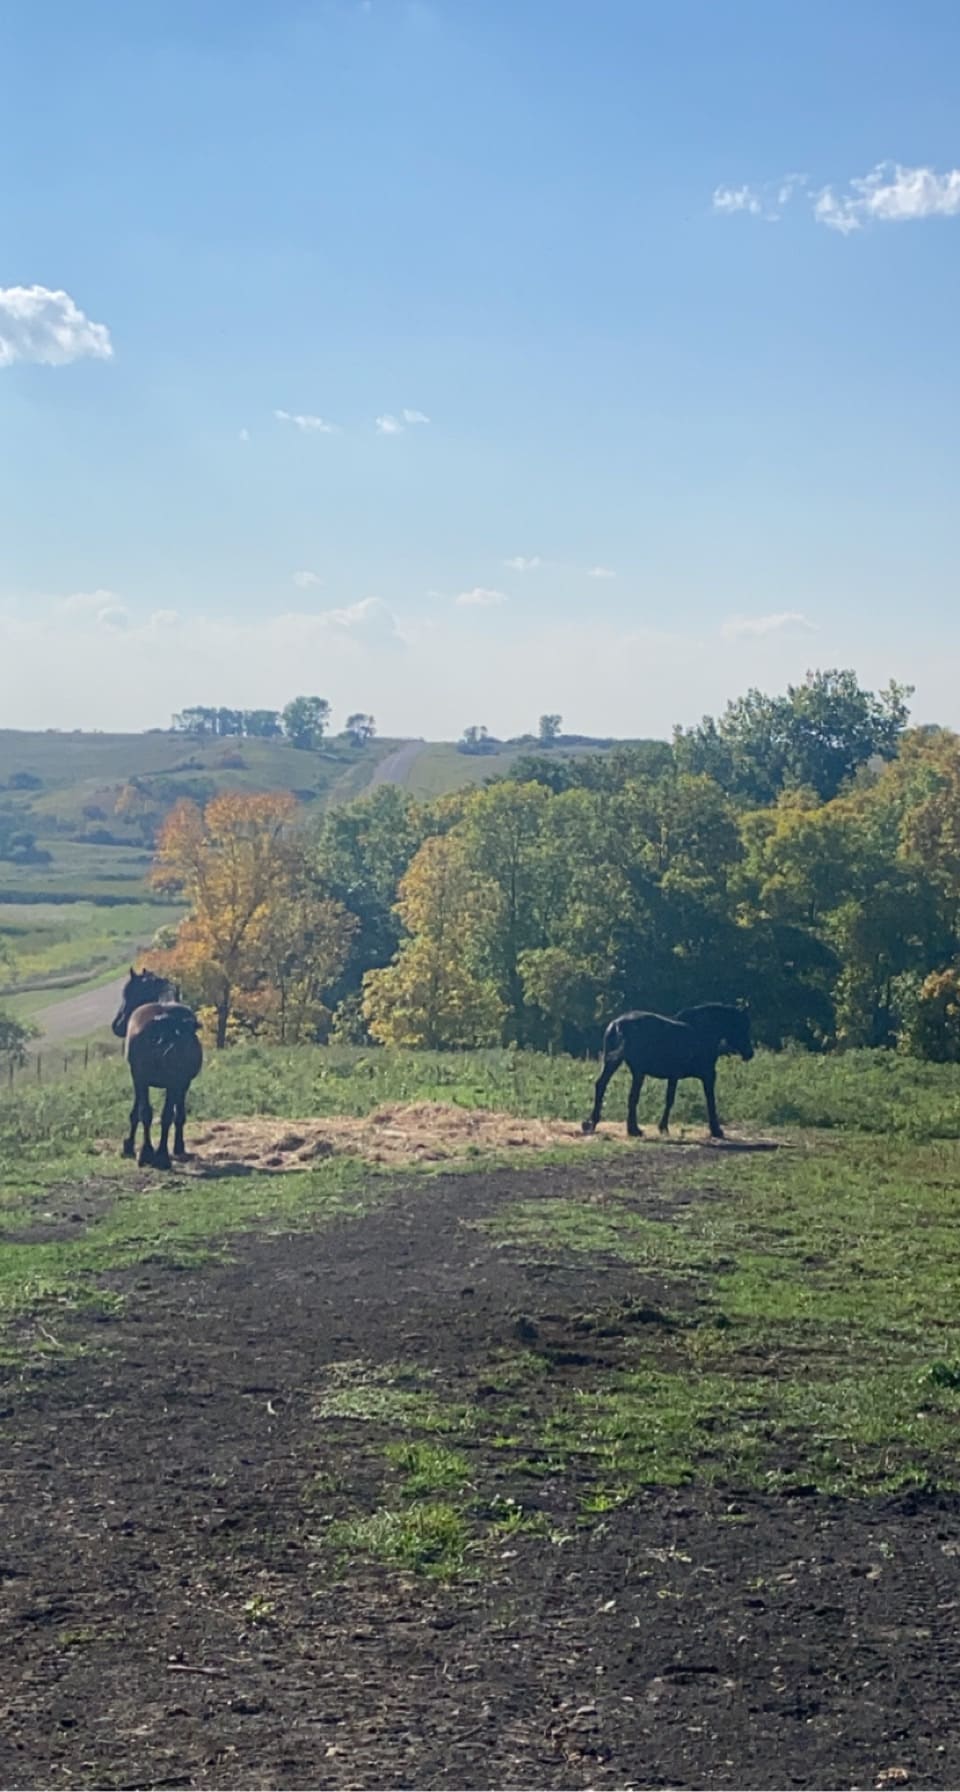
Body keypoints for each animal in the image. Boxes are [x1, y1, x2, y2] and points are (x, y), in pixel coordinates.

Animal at [111, 974, 203, 1168]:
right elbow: (178, 1115)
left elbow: (136, 1112)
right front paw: (178, 1147)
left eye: (128, 992)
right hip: (173, 1083)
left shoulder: (138, 1078)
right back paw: (160, 1155)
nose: (117, 1025)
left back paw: (150, 1153)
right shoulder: (182, 1083)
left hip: (153, 1081)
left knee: (148, 1113)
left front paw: (129, 1145)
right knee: (165, 1115)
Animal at [580, 1003, 752, 1139]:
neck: (702, 1032)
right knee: (631, 1096)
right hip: (637, 1072)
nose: (750, 1054)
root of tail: (618, 1024)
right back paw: (633, 1130)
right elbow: (710, 1101)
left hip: (614, 1064)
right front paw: (716, 1130)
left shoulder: (673, 1077)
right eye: (743, 1026)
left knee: (602, 1086)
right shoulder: (708, 1076)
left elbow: (669, 1100)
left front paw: (663, 1127)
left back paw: (592, 1123)